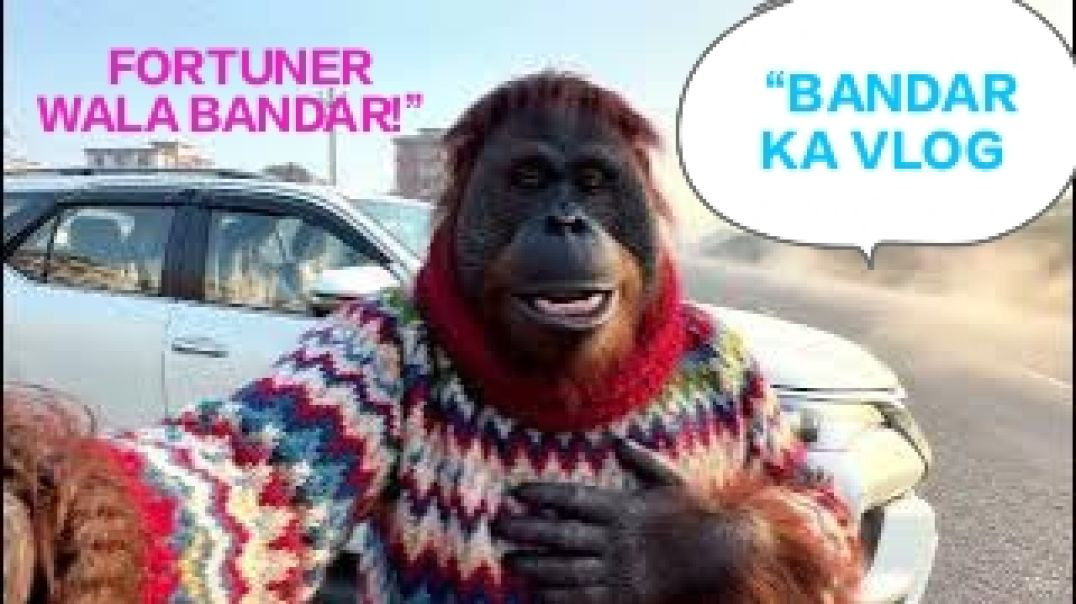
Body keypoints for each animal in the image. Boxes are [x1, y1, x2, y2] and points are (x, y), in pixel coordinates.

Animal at [2, 72, 861, 603]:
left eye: (591, 182)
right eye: (528, 179)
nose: (566, 220)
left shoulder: (734, 361)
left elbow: (818, 507)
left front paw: (667, 544)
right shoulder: (372, 345)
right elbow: (233, 486)